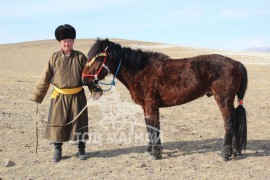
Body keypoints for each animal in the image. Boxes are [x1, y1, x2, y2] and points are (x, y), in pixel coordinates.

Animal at [81, 38, 248, 161]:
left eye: (99, 58)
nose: (84, 79)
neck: (140, 70)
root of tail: (236, 64)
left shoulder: (151, 105)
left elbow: (154, 127)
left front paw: (156, 153)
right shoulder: (146, 107)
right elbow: (149, 127)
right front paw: (150, 150)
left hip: (223, 100)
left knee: (229, 123)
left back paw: (225, 154)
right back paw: (234, 151)